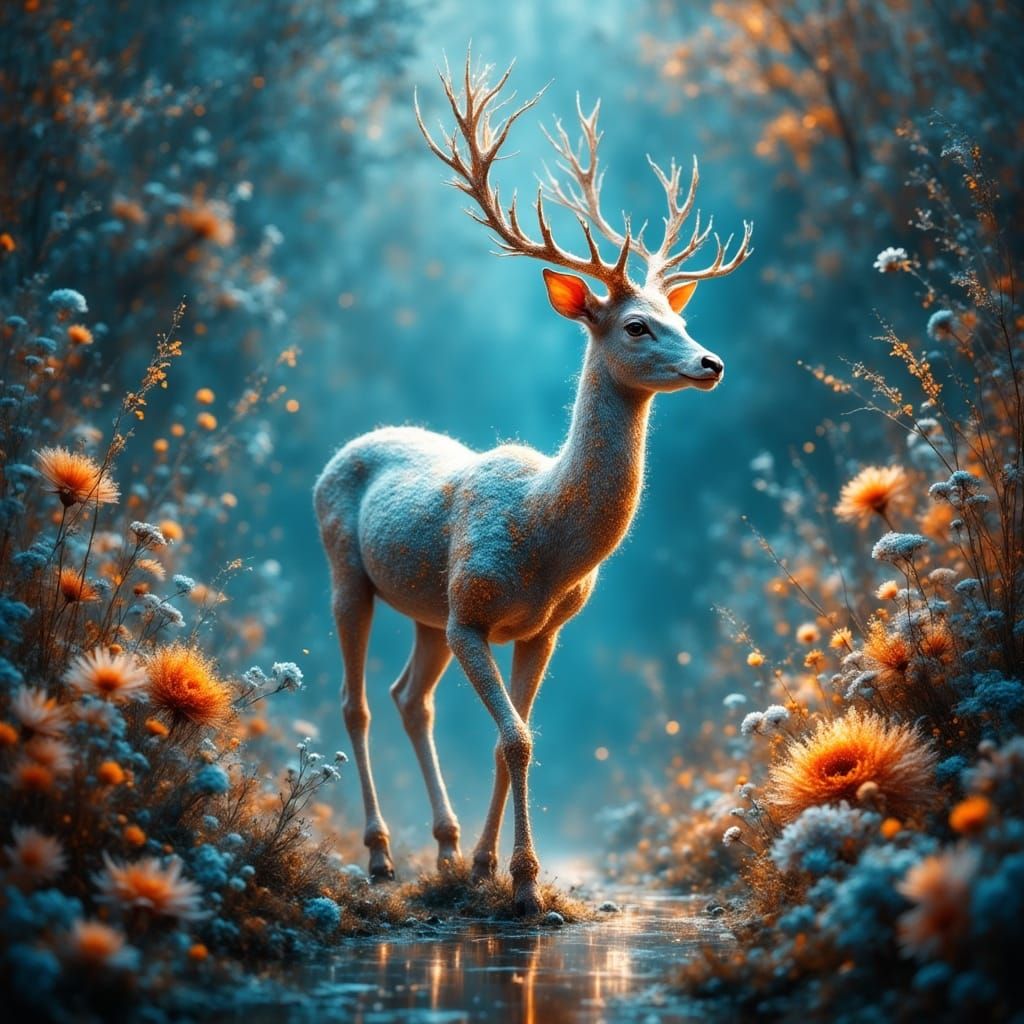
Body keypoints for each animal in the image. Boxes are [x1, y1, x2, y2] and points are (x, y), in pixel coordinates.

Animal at [313, 52, 752, 916]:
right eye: (636, 325)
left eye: (679, 316)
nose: (711, 362)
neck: (547, 537)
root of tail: (354, 443)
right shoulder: (473, 613)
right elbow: (514, 736)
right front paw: (521, 880)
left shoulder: (542, 627)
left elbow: (510, 741)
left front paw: (492, 867)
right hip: (349, 569)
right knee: (356, 703)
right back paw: (381, 858)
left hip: (427, 607)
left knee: (408, 697)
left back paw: (446, 850)